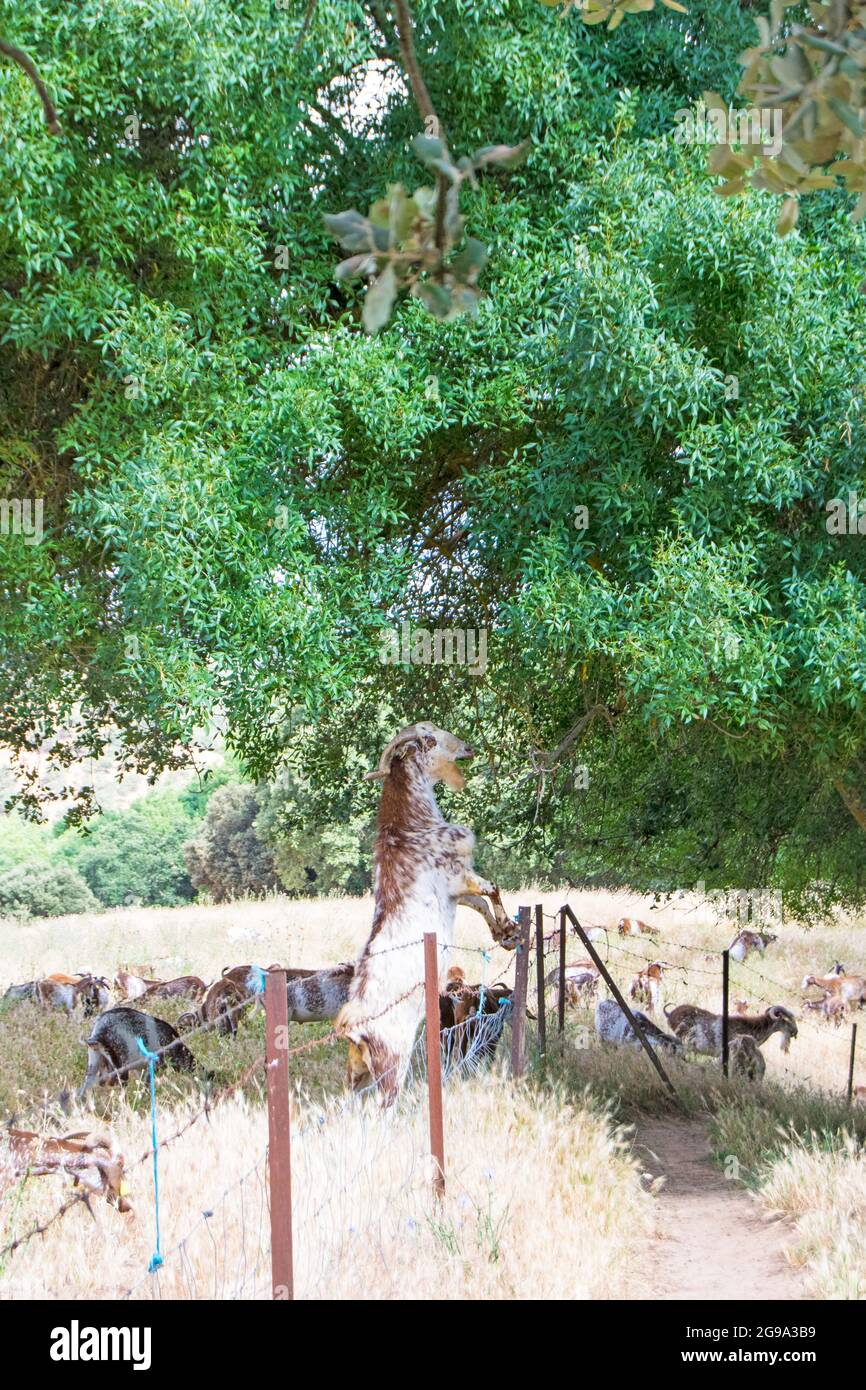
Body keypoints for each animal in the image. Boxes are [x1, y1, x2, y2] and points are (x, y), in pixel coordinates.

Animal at [337, 728, 514, 1106]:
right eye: (428, 740)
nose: (468, 748)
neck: (409, 825)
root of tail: (352, 1027)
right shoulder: (458, 876)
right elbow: (491, 888)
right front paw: (511, 931)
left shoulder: (455, 894)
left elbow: (480, 905)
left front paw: (506, 934)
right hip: (392, 1063)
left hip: (357, 1072)